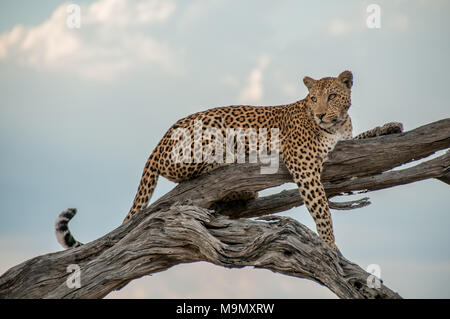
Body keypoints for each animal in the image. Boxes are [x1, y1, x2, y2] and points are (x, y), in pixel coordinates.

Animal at [54, 70, 402, 252]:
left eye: (332, 96)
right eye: (313, 98)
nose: (318, 114)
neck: (336, 124)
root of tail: (159, 140)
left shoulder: (343, 146)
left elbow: (365, 138)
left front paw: (390, 127)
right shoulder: (304, 166)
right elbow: (322, 209)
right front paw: (330, 245)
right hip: (207, 133)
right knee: (191, 170)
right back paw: (235, 165)